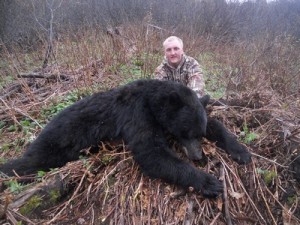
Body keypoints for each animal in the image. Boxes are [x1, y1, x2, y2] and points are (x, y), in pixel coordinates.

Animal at [0, 80, 251, 198]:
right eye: (185, 133)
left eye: (198, 133)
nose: (198, 156)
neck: (151, 100)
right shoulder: (136, 113)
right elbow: (151, 152)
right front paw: (208, 182)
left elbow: (216, 125)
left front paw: (241, 151)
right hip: (57, 142)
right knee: (29, 163)